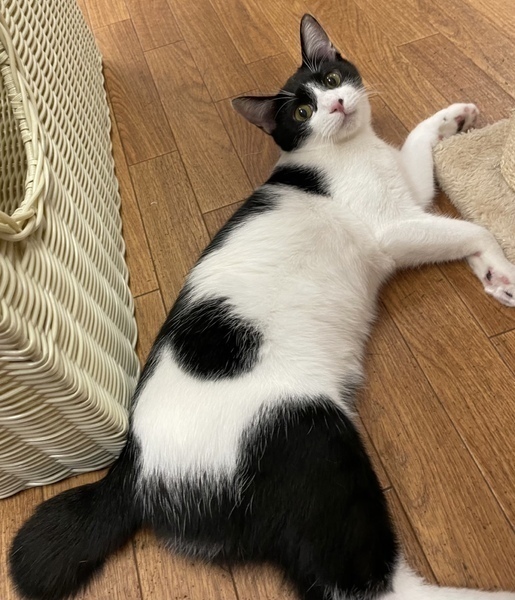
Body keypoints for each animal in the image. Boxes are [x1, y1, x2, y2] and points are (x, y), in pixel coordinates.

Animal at [9, 14, 515, 600]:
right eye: (300, 113)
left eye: (331, 78)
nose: (335, 105)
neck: (346, 151)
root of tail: (130, 466)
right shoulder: (393, 229)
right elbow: (473, 227)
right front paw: (504, 266)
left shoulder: (409, 193)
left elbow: (420, 148)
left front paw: (457, 124)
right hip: (306, 437)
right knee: (359, 583)